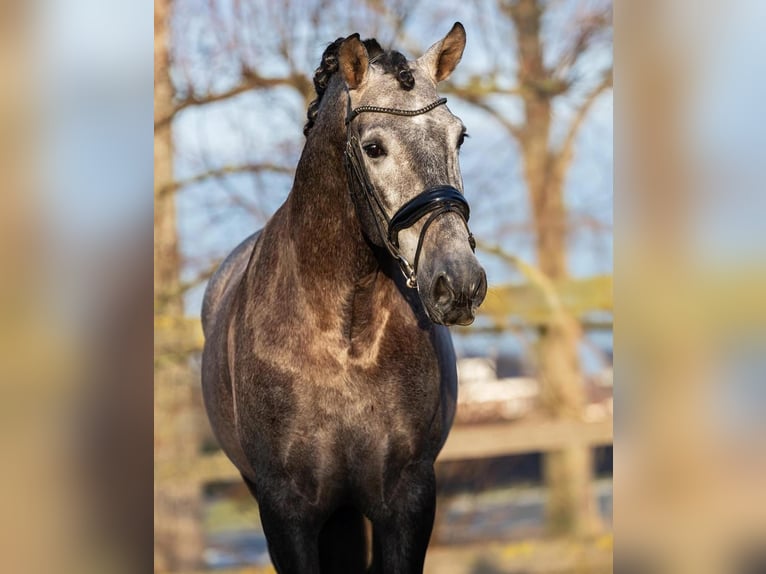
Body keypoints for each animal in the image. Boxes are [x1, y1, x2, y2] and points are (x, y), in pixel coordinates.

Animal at [201, 22, 486, 574]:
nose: (459, 282)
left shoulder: (408, 502)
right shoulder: (286, 512)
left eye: (459, 137)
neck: (344, 339)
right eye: (373, 148)